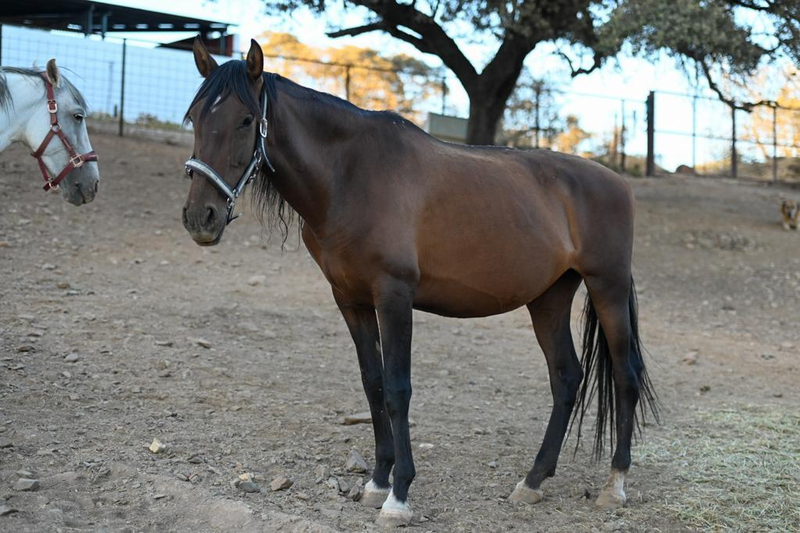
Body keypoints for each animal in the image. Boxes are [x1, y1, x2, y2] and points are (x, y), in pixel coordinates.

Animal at [182, 37, 658, 527]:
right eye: (195, 117)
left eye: (245, 120)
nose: (201, 218)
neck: (352, 175)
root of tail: (617, 182)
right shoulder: (350, 300)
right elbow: (372, 384)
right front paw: (377, 481)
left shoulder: (393, 296)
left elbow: (397, 388)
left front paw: (399, 495)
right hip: (549, 299)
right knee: (566, 378)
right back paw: (532, 481)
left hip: (607, 288)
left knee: (626, 375)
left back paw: (614, 485)